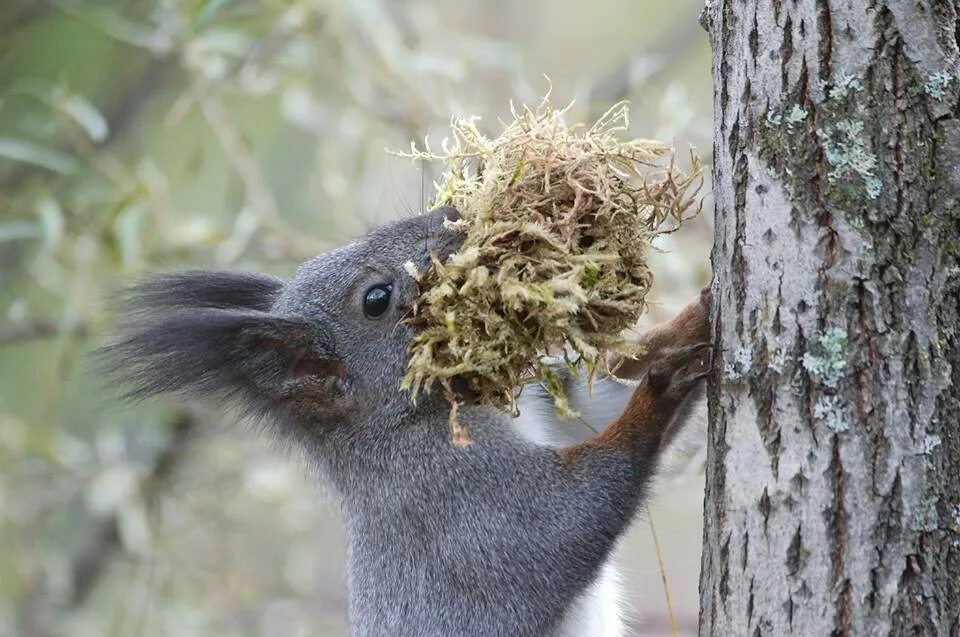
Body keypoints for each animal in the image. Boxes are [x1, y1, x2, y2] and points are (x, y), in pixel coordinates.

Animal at [105, 206, 708, 632]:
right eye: (376, 299)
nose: (452, 212)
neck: (414, 418)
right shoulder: (460, 500)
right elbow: (574, 511)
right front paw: (659, 389)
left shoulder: (537, 408)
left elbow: (600, 397)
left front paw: (689, 322)